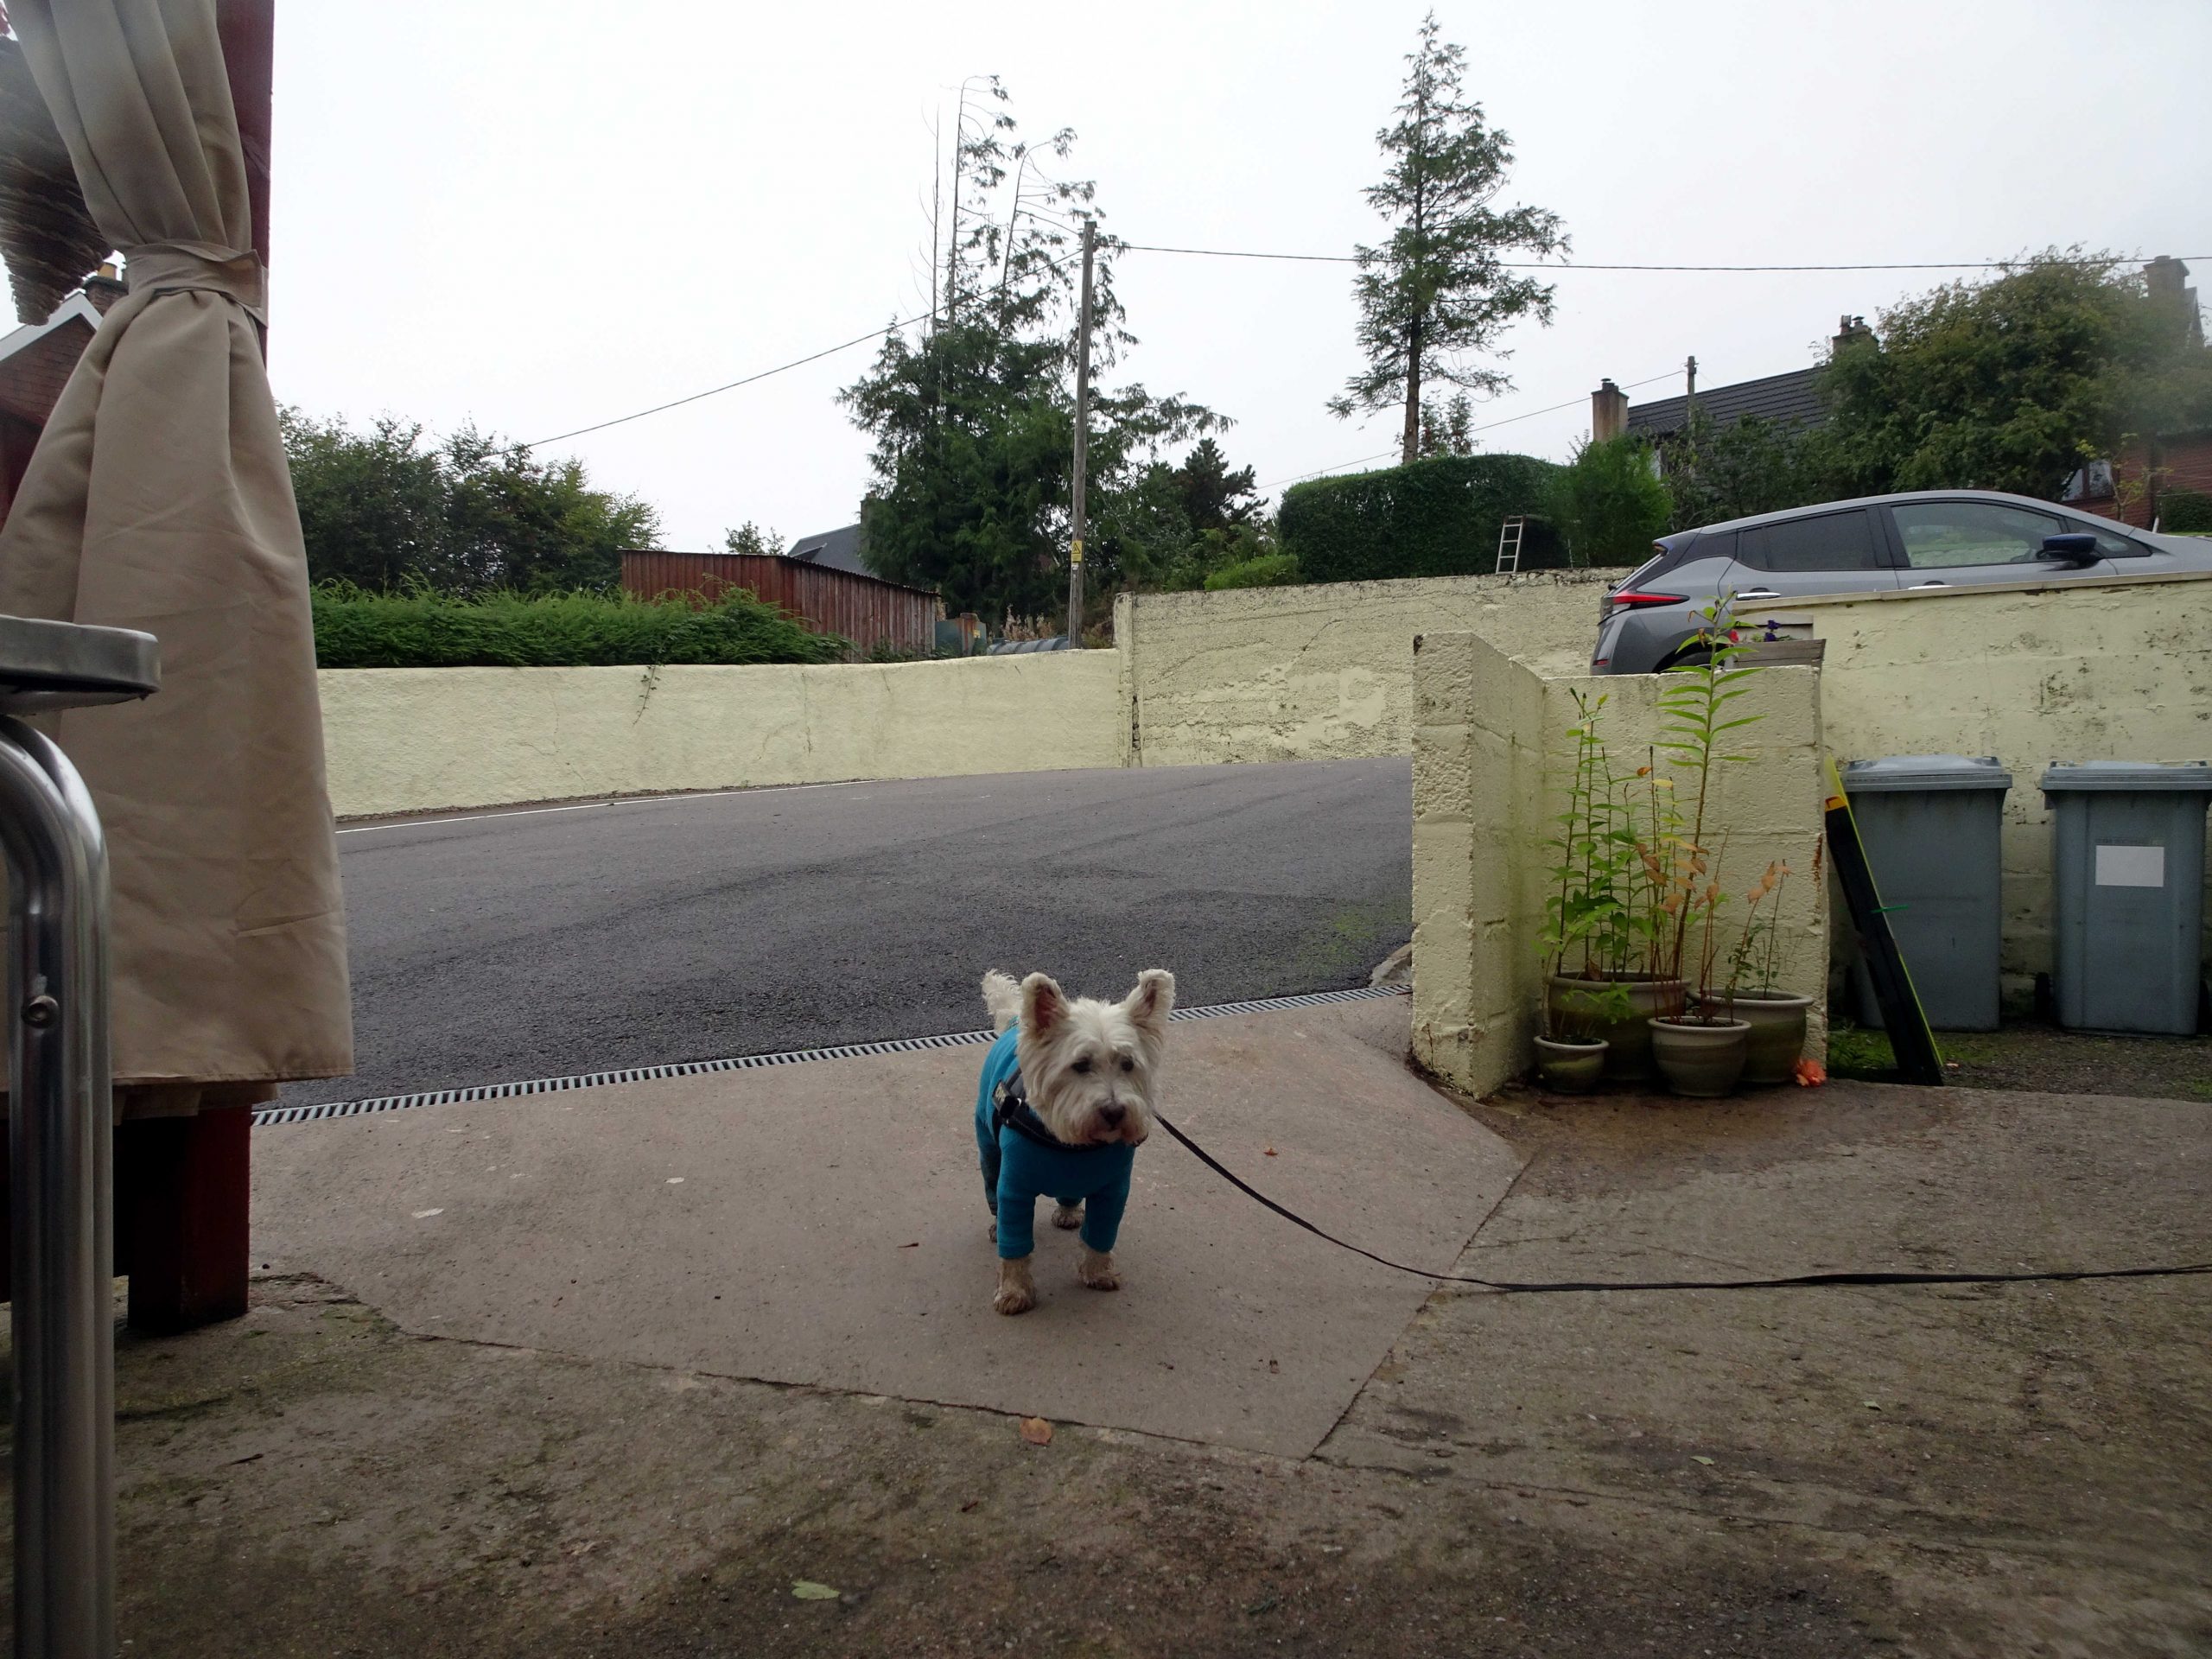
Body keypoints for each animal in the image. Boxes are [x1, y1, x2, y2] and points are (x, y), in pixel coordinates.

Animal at [973, 969, 1176, 1318]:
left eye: (1128, 1064)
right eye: (1080, 1065)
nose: (1114, 1112)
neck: (1072, 1147)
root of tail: (1016, 1020)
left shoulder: (1113, 1191)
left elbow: (1101, 1234)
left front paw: (1098, 1272)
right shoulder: (1014, 1188)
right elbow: (1014, 1245)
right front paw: (1014, 1291)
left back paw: (1069, 1213)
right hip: (988, 1146)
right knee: (991, 1183)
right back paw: (996, 1224)